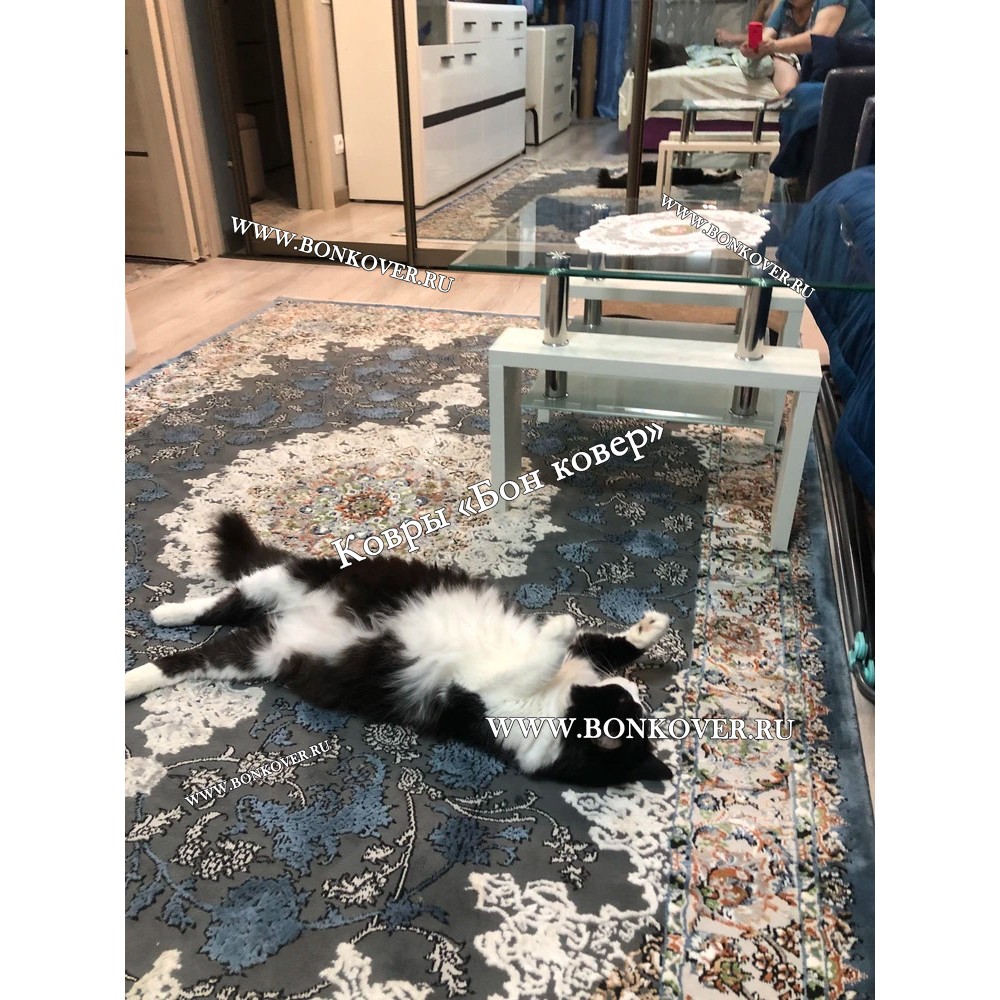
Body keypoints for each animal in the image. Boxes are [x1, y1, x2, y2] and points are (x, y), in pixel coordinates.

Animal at [125, 512, 675, 788]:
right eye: (624, 703)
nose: (629, 692)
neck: (558, 705)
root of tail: (294, 614)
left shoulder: (488, 698)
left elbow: (545, 658)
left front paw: (561, 630)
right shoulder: (566, 664)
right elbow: (602, 643)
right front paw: (651, 625)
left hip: (256, 655)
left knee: (187, 657)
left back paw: (133, 673)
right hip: (293, 577)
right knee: (222, 600)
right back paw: (165, 613)